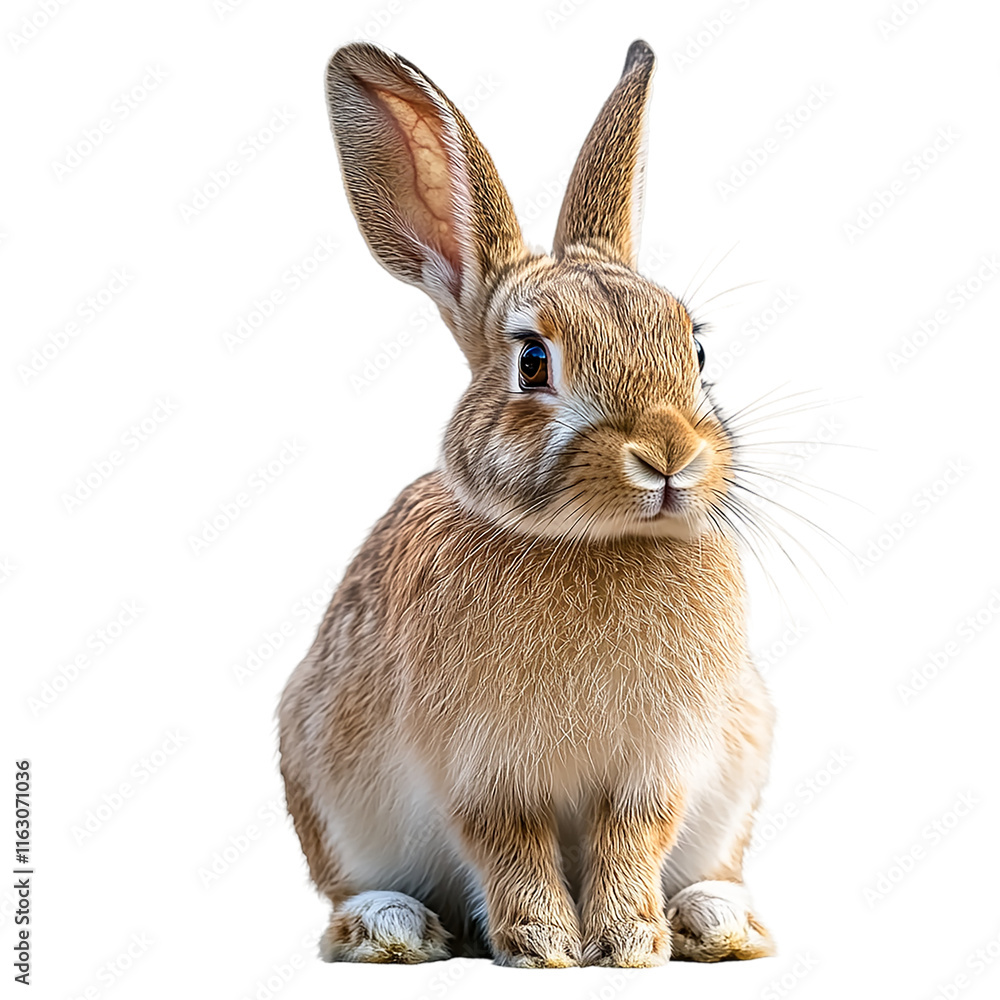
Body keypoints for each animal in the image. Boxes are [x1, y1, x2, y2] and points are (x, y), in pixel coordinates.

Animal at [278, 38, 776, 968]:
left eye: (693, 349)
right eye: (533, 363)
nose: (669, 455)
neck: (595, 542)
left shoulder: (660, 764)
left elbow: (633, 838)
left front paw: (629, 944)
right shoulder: (480, 770)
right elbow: (510, 845)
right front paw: (544, 945)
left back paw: (717, 921)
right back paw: (390, 927)